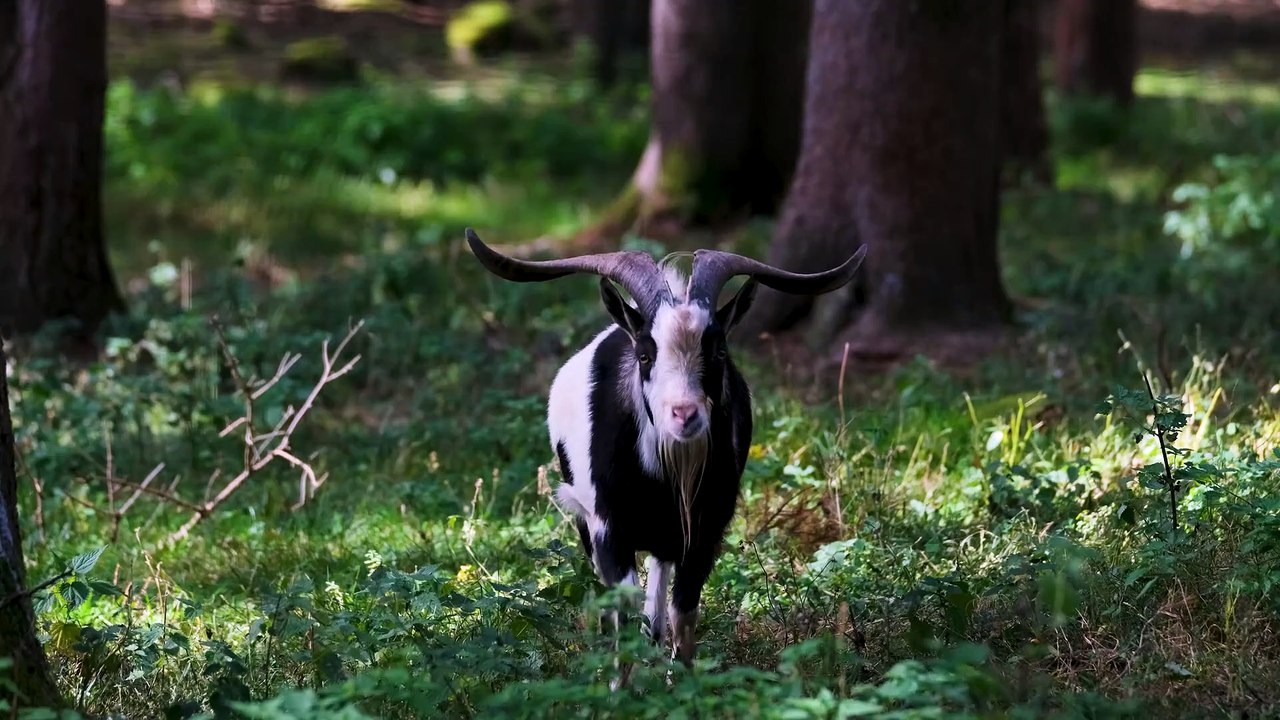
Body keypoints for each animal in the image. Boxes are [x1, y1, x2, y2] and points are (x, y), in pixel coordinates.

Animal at [465, 228, 866, 672]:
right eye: (645, 355)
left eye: (718, 351)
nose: (684, 414)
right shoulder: (608, 528)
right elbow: (623, 614)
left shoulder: (704, 531)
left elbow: (682, 612)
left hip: (666, 540)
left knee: (656, 606)